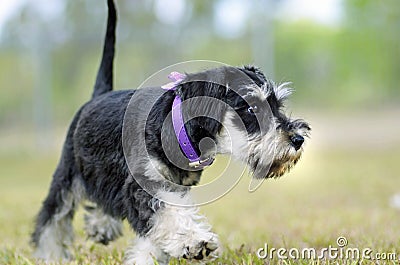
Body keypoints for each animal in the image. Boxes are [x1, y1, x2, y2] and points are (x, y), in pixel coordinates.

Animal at [31, 1, 310, 262]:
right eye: (252, 108)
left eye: (278, 105)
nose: (297, 139)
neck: (177, 128)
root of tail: (97, 96)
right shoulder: (145, 183)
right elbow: (170, 214)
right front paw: (194, 242)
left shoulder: (165, 187)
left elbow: (159, 226)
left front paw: (148, 256)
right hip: (68, 172)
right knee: (52, 217)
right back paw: (50, 254)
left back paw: (101, 227)